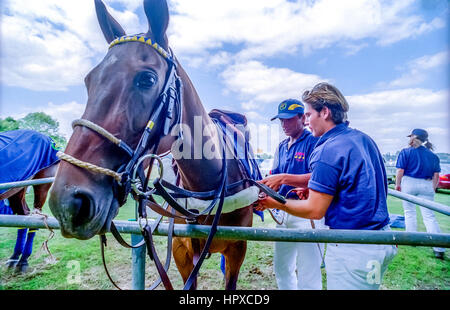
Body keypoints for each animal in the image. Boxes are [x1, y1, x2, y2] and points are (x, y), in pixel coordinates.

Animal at [0, 130, 59, 272]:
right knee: (23, 217)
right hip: (17, 189)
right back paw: (14, 257)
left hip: (40, 185)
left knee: (34, 219)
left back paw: (23, 261)